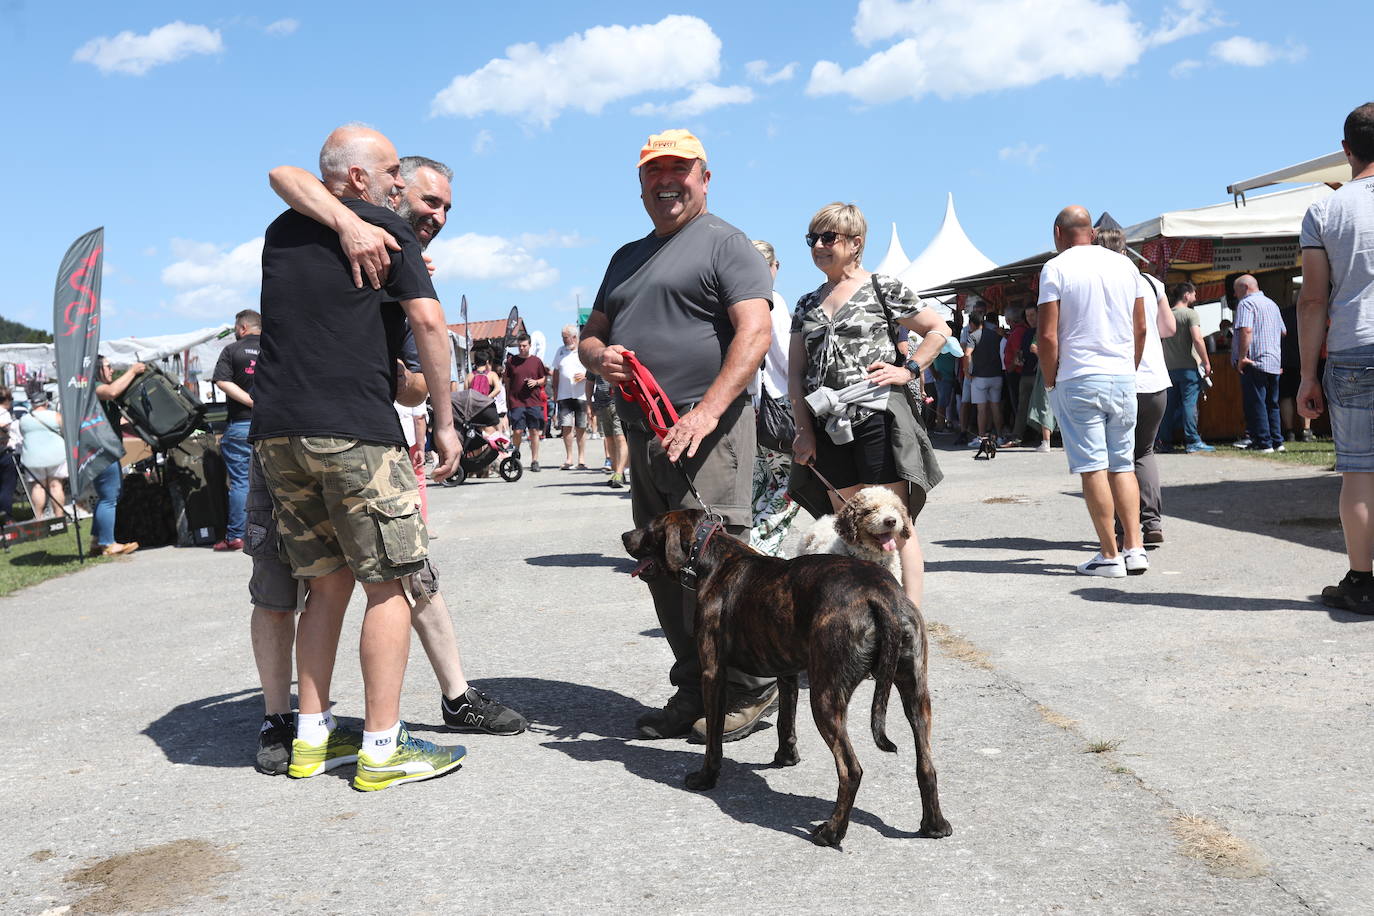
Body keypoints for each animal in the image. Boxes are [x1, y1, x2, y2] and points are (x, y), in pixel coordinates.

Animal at [626, 508, 956, 845]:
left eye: (649, 528)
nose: (625, 536)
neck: (714, 557)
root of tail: (880, 596)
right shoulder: (786, 673)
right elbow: (785, 721)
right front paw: (786, 757)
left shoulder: (713, 673)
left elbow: (714, 740)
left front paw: (706, 777)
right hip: (915, 694)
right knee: (926, 765)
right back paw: (934, 825)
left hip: (825, 697)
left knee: (851, 770)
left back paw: (832, 832)